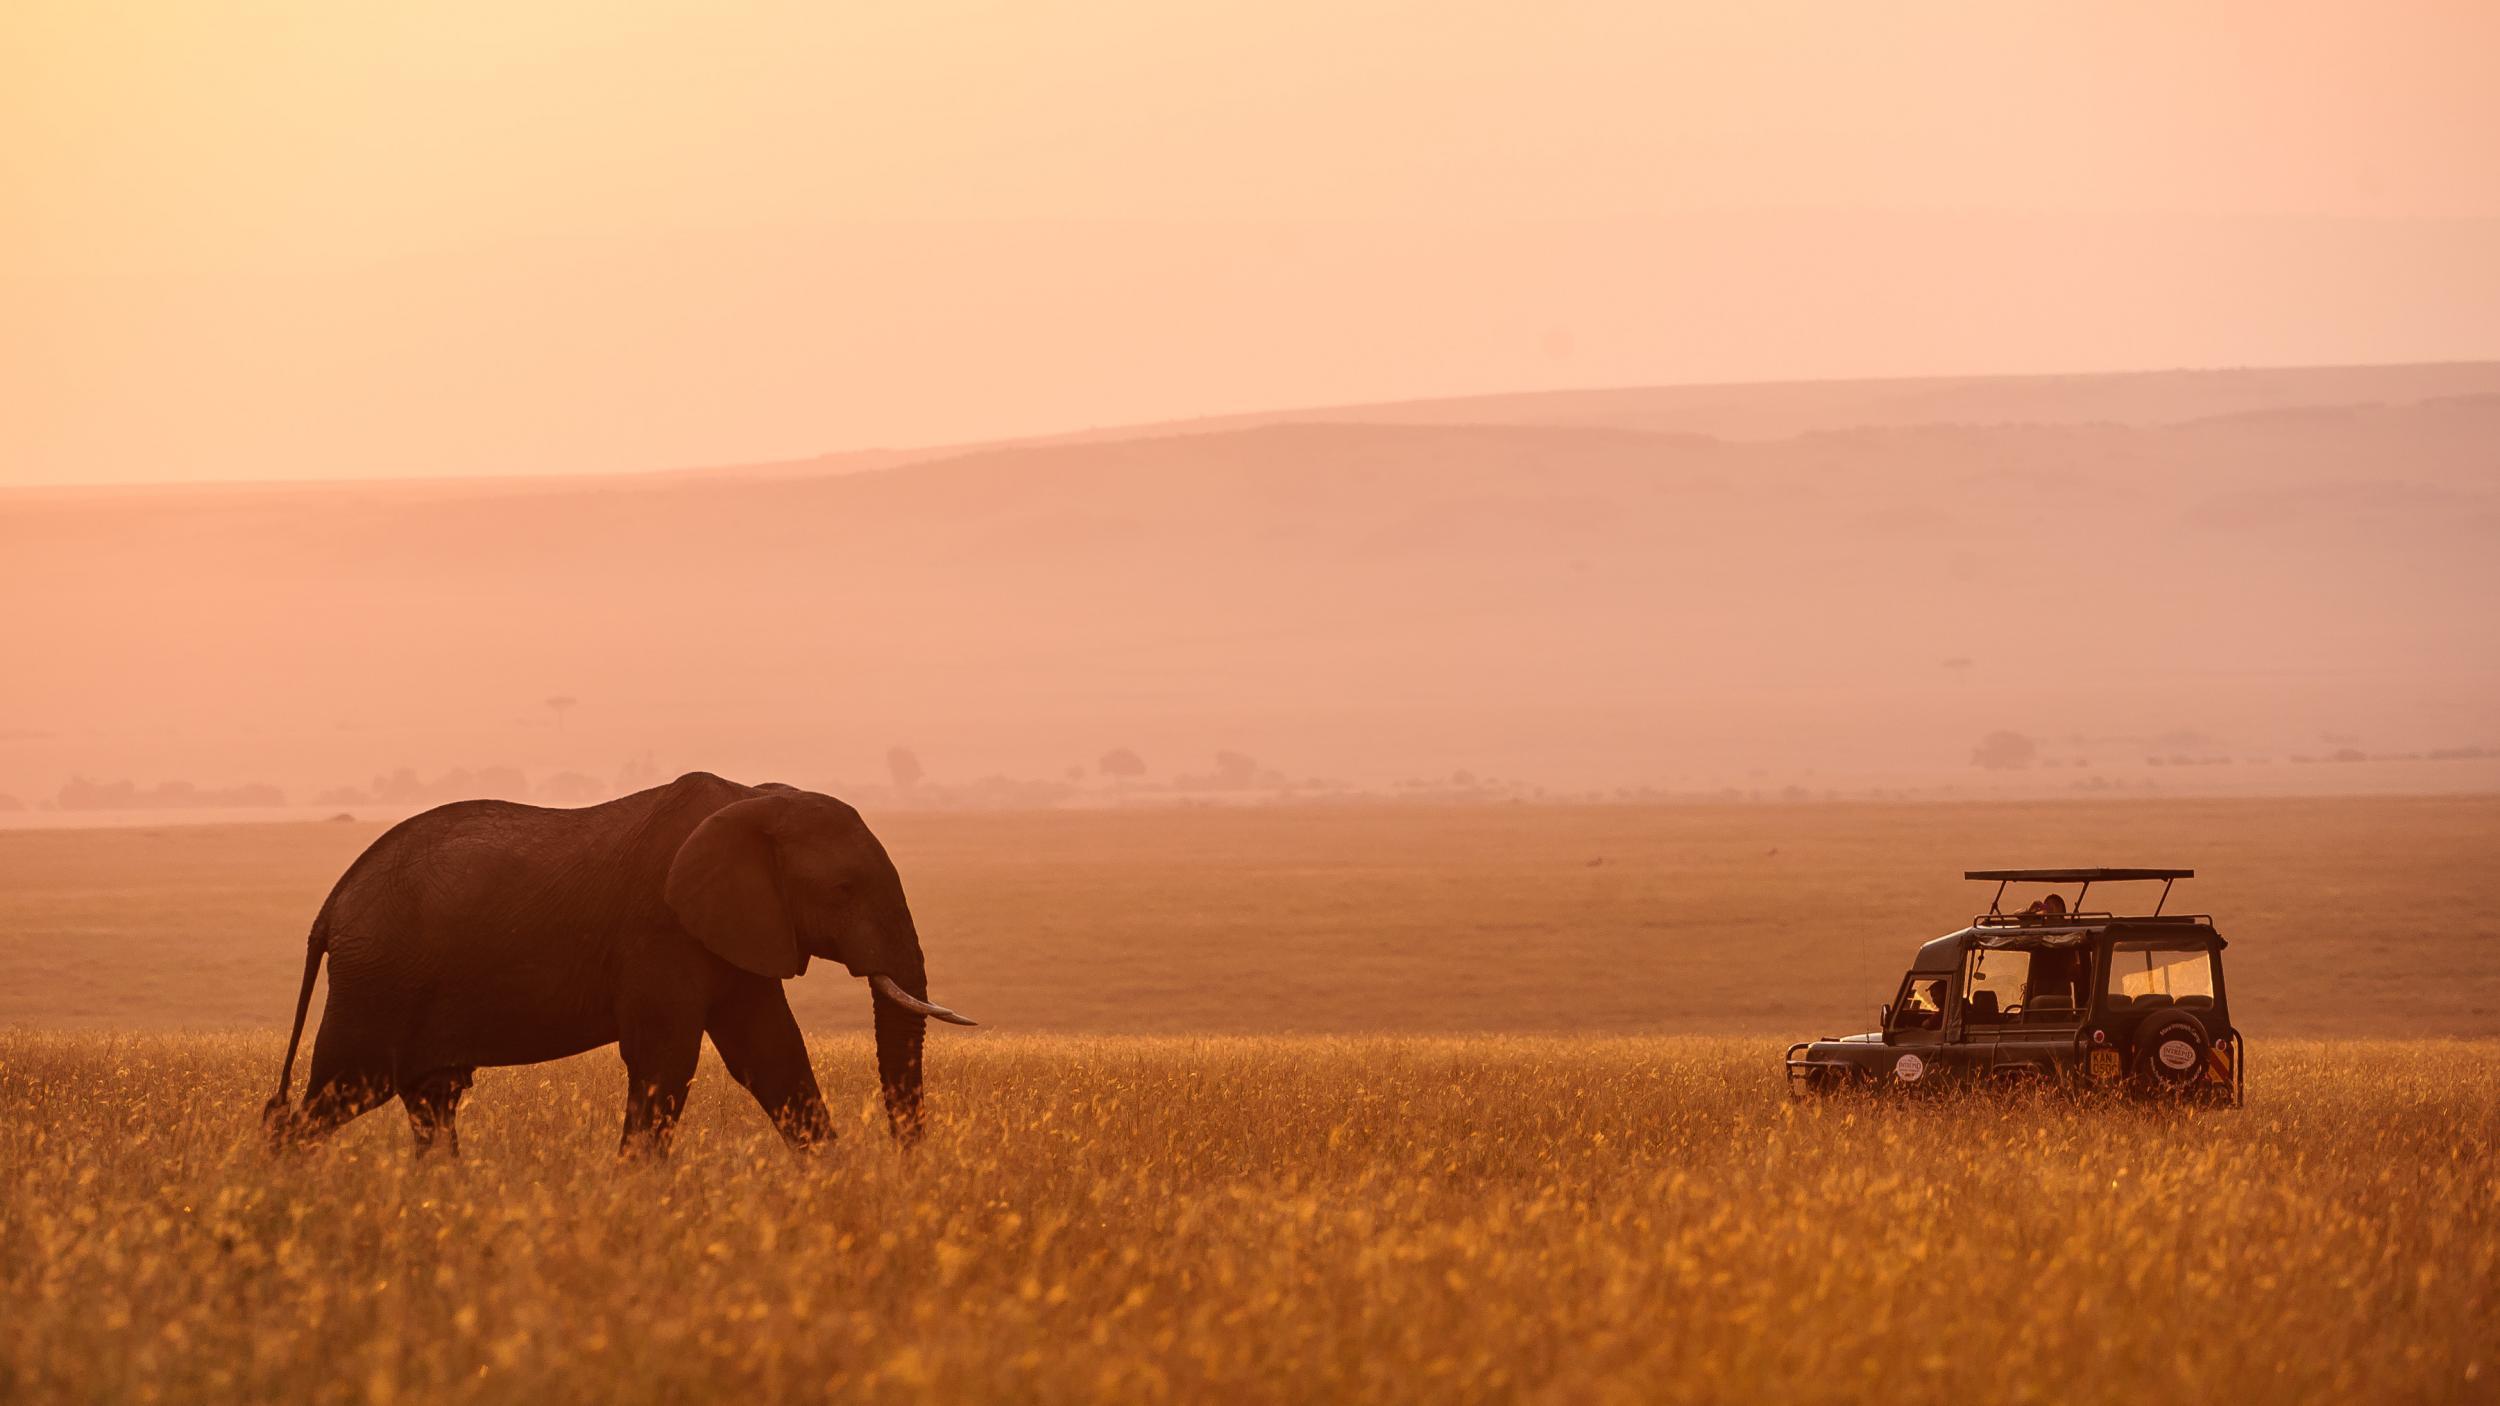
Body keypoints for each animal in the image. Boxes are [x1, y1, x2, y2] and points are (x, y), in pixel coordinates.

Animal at [261, 770, 975, 1155]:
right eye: (844, 889)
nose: (906, 1169)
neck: (754, 795)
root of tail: (332, 904)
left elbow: (773, 1057)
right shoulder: (660, 931)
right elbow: (665, 1062)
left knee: (432, 1101)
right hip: (379, 979)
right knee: (346, 1092)